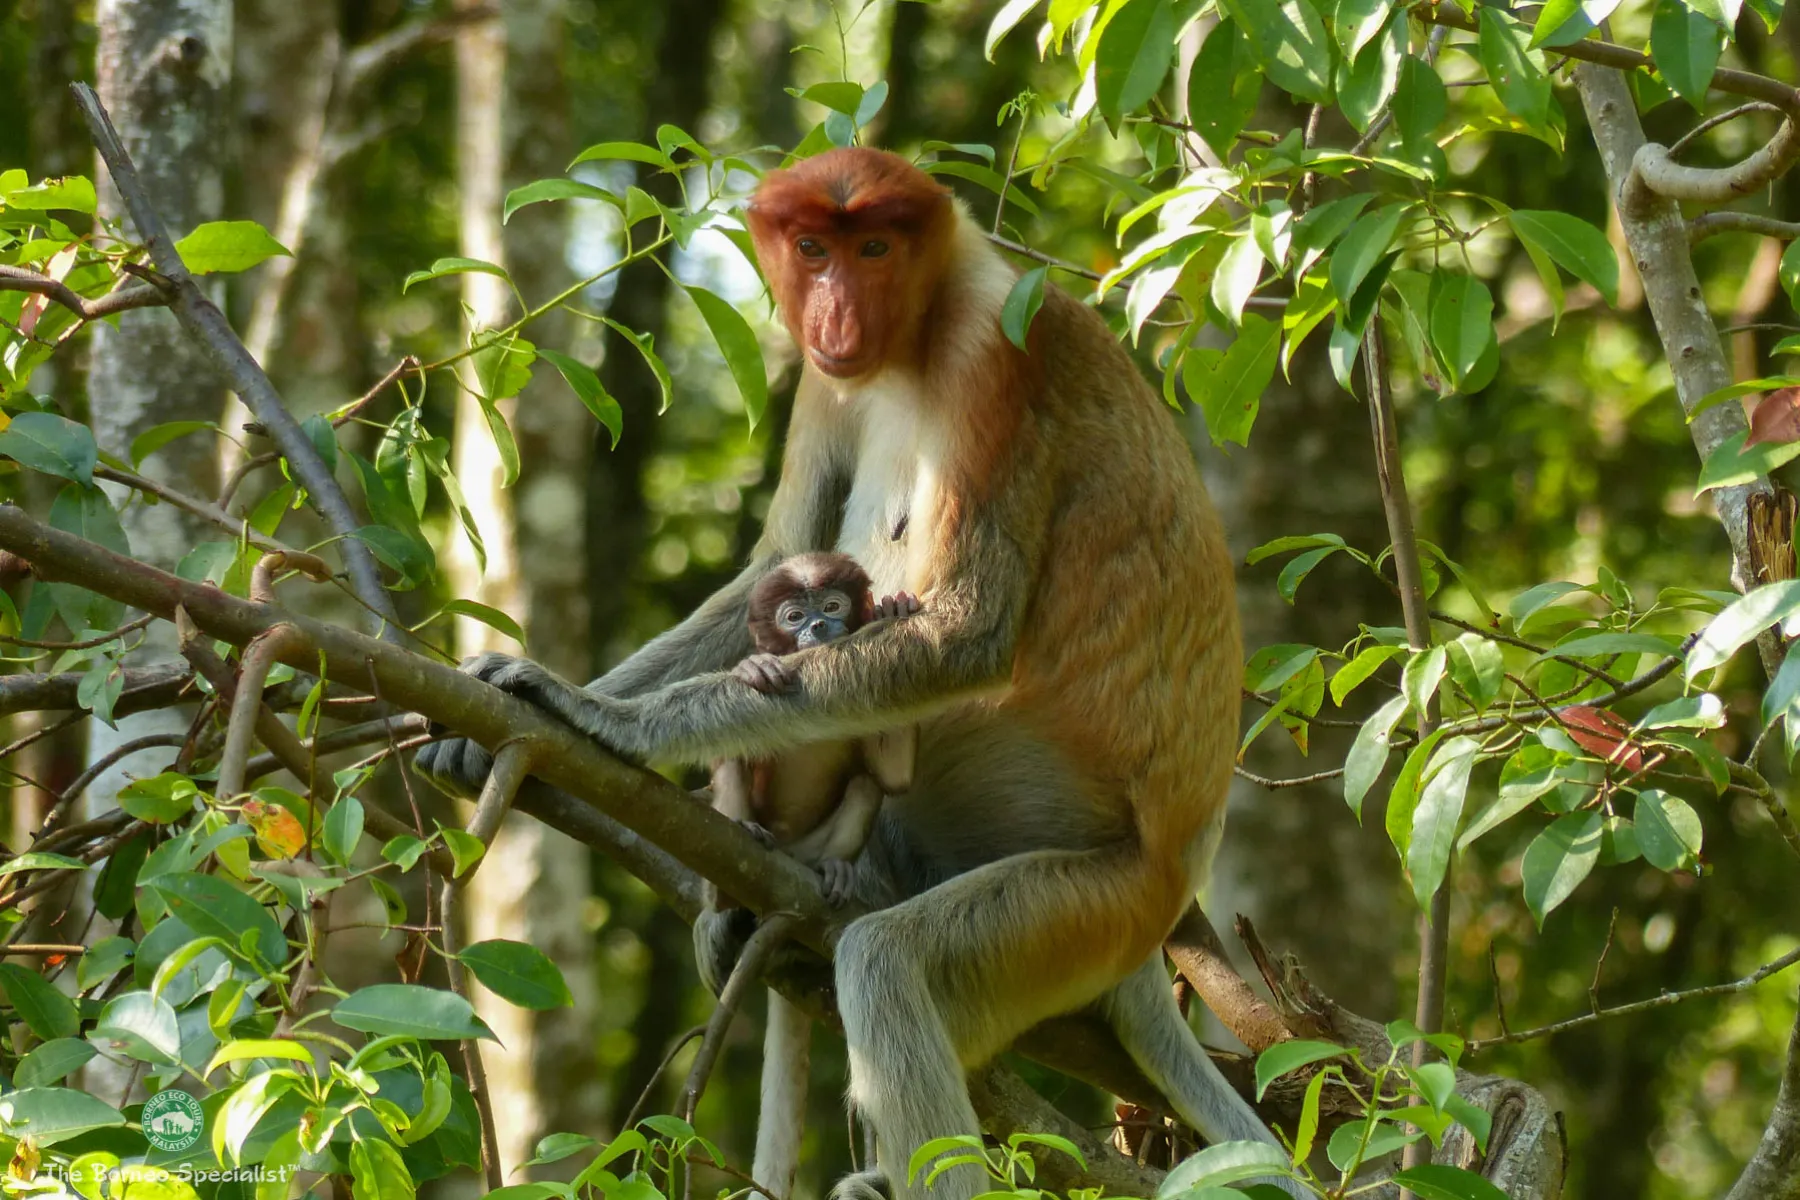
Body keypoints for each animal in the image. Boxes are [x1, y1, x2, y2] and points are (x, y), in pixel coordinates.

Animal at [704, 551, 920, 1200]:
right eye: (793, 616)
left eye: (833, 606)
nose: (818, 629)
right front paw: (754, 665)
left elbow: (891, 776)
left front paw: (897, 608)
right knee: (735, 761)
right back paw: (733, 876)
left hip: (813, 848)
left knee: (866, 784)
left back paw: (836, 872)